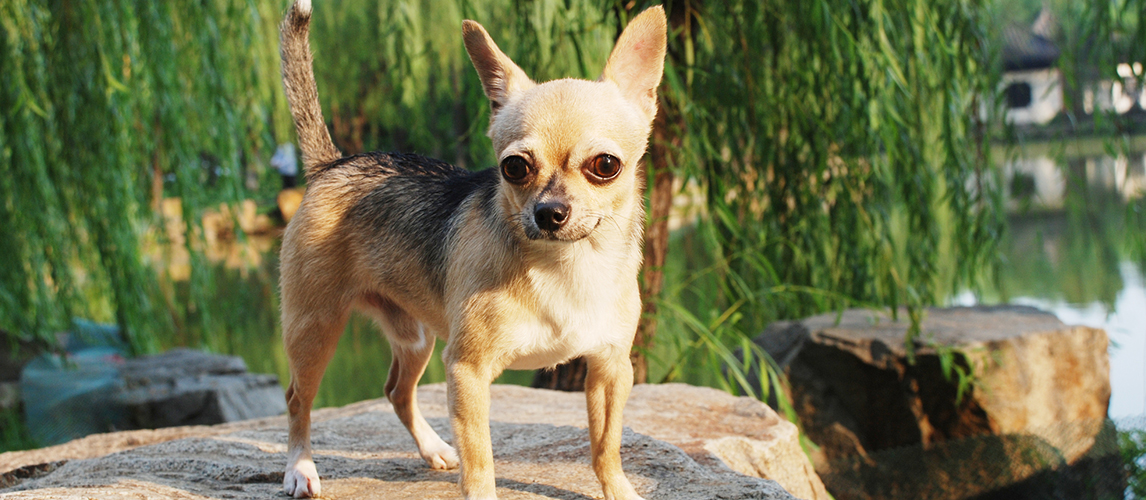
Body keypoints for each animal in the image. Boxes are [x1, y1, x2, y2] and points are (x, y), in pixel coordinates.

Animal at [278, 1, 669, 497]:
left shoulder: (610, 369)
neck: (567, 265)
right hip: (315, 330)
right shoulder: (466, 370)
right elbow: (481, 458)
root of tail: (332, 163)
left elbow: (606, 446)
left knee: (396, 391)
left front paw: (618, 489)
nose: (549, 212)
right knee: (297, 399)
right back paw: (300, 468)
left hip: (416, 336)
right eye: (514, 167)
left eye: (605, 165)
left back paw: (433, 449)